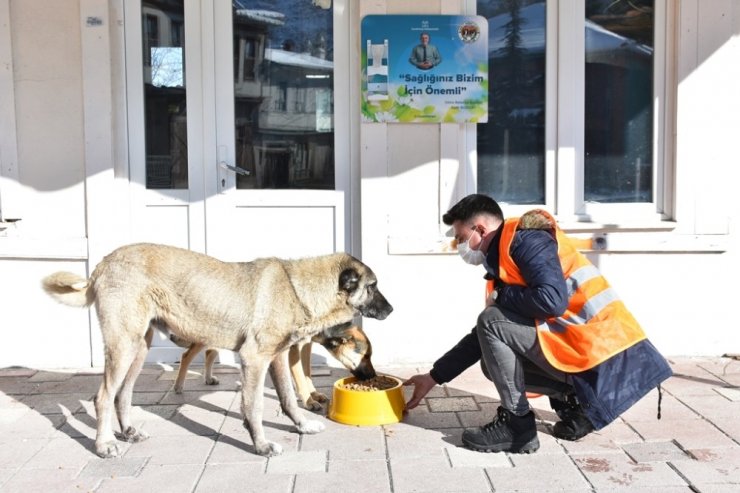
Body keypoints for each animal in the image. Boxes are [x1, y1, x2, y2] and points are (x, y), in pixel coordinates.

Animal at [169, 320, 376, 410]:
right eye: (366, 356)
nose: (374, 376)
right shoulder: (294, 348)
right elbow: (300, 377)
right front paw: (308, 400)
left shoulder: (305, 345)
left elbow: (307, 372)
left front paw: (313, 393)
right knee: (187, 355)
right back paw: (178, 386)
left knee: (209, 353)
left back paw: (208, 378)